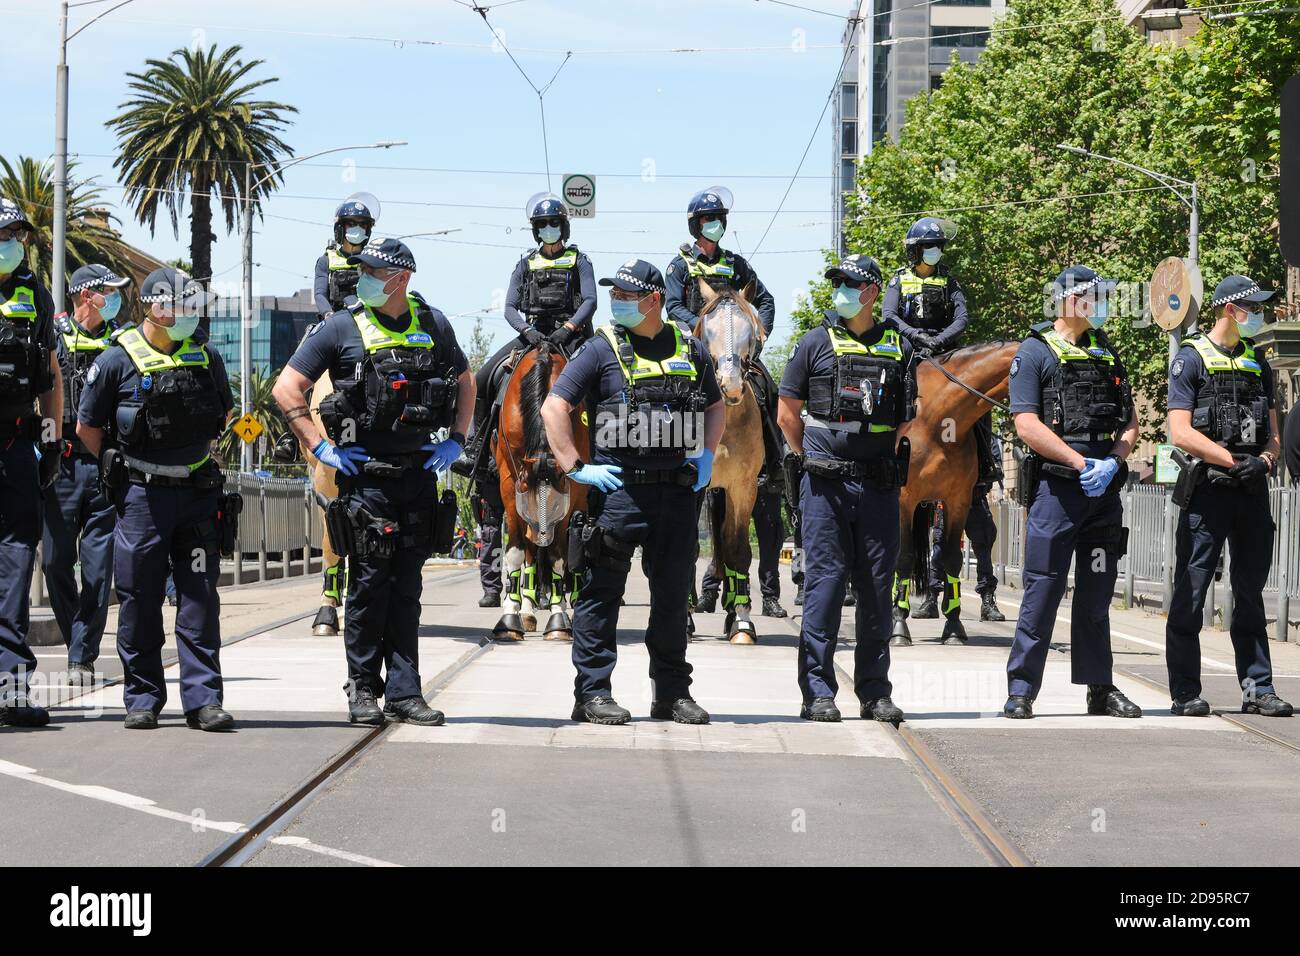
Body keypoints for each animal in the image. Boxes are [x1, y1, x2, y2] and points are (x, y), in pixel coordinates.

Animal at [488, 340, 587, 639]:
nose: (541, 532)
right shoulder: (510, 483)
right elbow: (516, 552)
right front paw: (510, 618)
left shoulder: (572, 486)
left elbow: (558, 556)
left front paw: (559, 620)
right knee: (529, 552)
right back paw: (527, 611)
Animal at [894, 340, 1013, 647]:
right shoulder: (903, 499)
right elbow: (904, 557)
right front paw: (899, 626)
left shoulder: (958, 500)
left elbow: (952, 558)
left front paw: (954, 627)